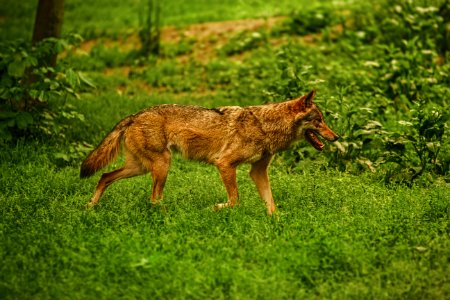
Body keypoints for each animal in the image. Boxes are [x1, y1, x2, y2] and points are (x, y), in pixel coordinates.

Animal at [81, 90, 338, 214]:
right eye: (319, 121)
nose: (336, 137)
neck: (265, 126)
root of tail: (134, 115)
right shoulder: (224, 164)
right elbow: (234, 201)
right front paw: (213, 208)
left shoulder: (257, 172)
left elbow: (271, 204)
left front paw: (277, 223)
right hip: (162, 166)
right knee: (153, 199)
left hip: (141, 167)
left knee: (105, 176)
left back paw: (90, 207)